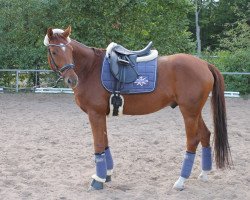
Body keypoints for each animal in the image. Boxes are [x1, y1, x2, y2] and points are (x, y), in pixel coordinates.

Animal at [42, 26, 230, 191]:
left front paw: (98, 180)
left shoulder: (94, 114)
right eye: (54, 52)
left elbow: (98, 144)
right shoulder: (101, 114)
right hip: (195, 112)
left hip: (189, 112)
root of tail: (204, 64)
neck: (90, 68)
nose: (72, 80)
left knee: (192, 141)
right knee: (205, 135)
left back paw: (181, 181)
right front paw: (107, 175)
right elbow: (105, 142)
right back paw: (204, 174)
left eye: (69, 50)